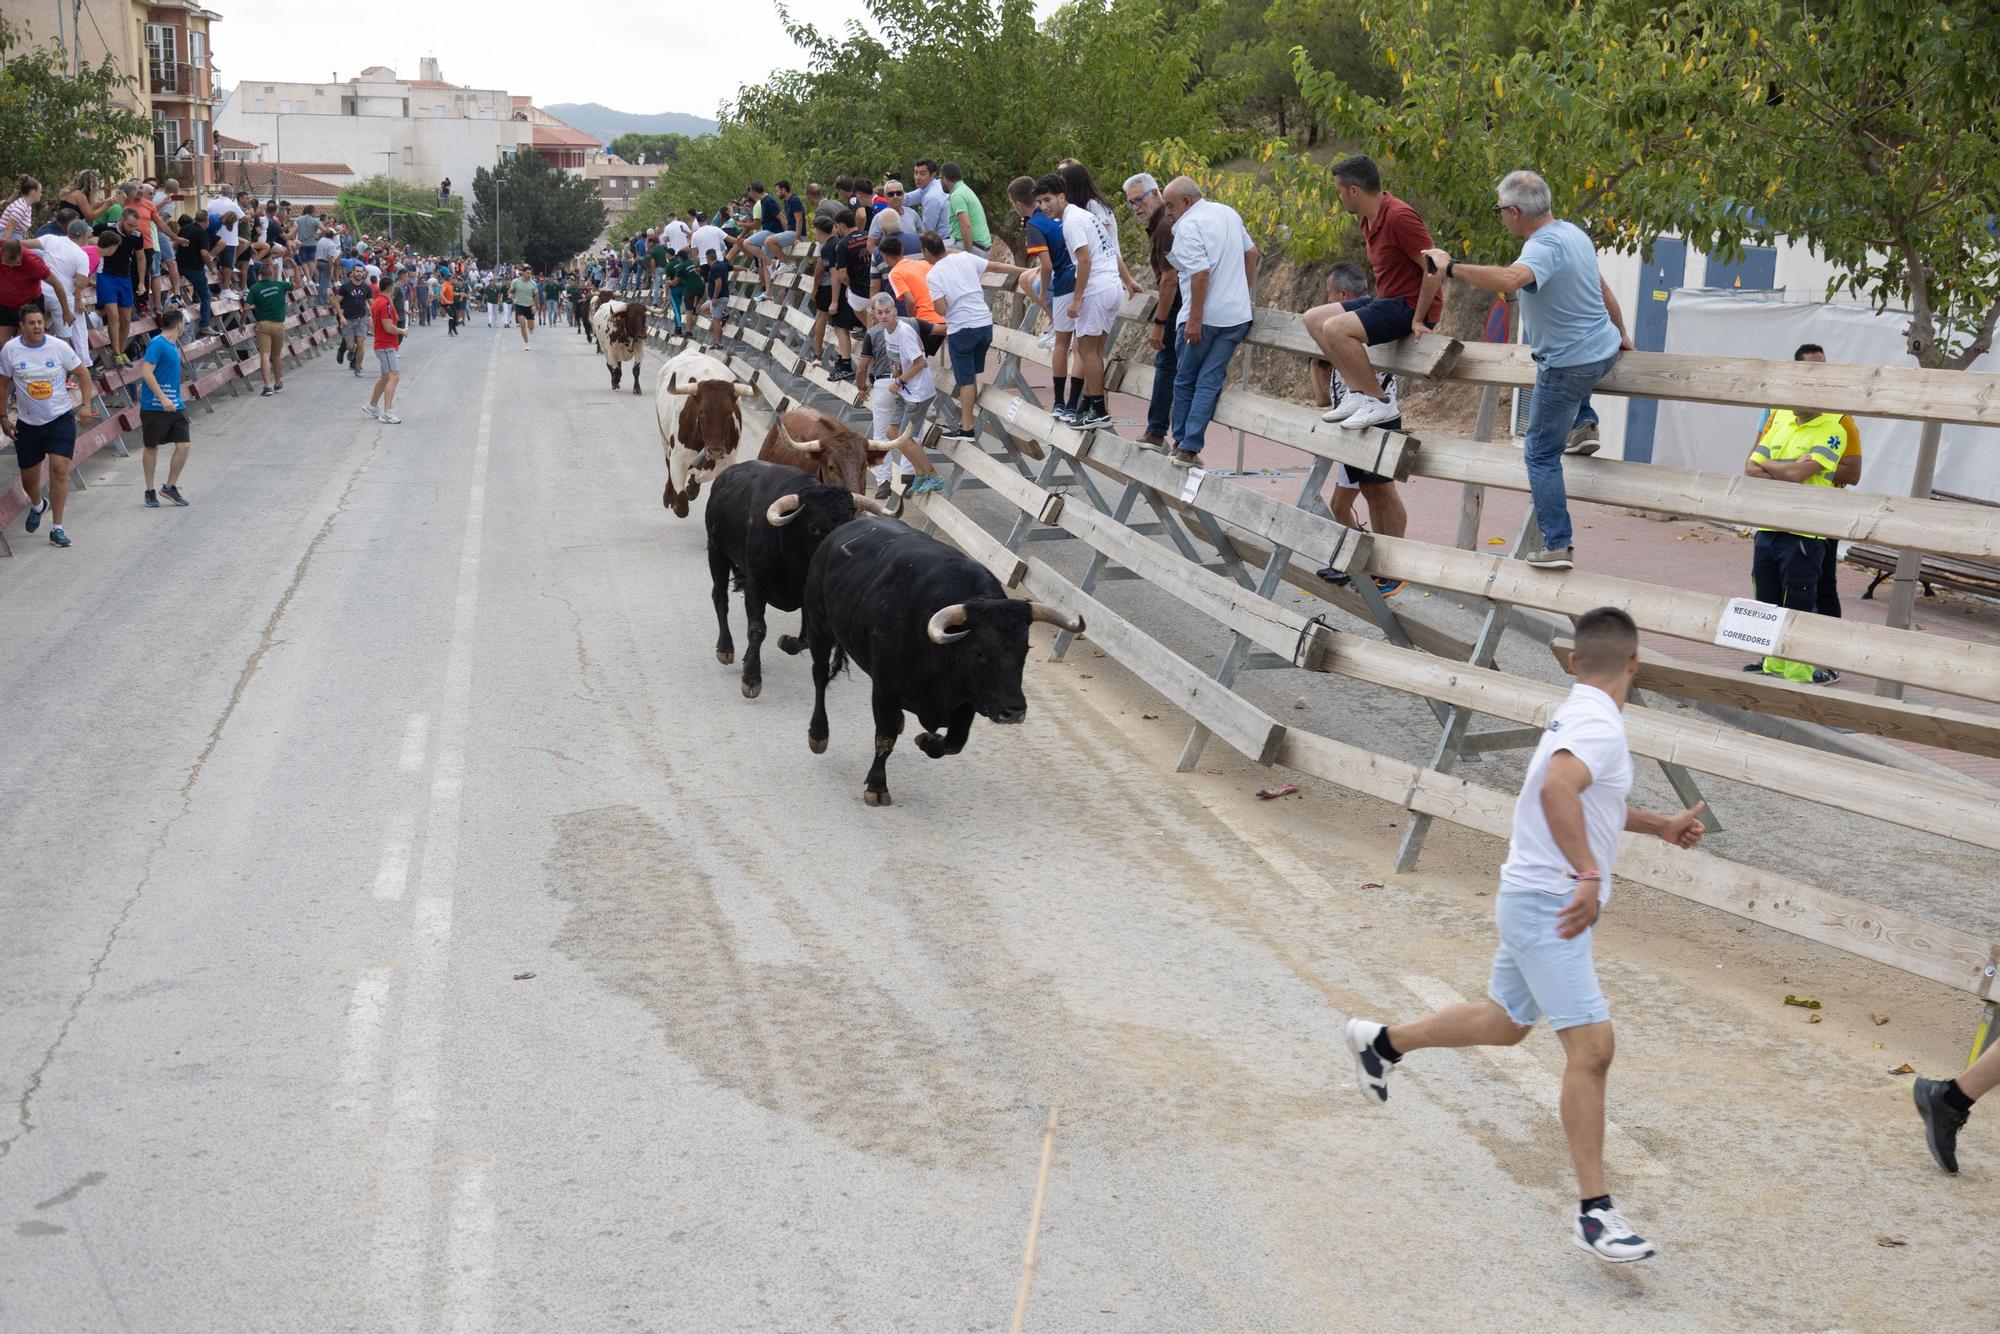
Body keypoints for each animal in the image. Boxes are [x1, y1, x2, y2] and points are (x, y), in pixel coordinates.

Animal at [656, 348, 756, 520]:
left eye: (729, 412)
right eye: (701, 411)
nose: (715, 450)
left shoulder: (726, 463)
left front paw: (692, 487)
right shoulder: (678, 458)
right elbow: (682, 507)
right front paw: (675, 500)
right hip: (664, 436)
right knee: (667, 463)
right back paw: (668, 496)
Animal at [708, 462, 888, 700]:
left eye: (849, 521)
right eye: (814, 527)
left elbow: (804, 639)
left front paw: (785, 642)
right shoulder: (755, 583)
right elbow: (757, 629)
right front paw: (752, 678)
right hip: (716, 552)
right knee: (720, 597)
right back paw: (725, 648)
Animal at [788, 516, 1088, 808]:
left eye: (1024, 650)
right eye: (979, 651)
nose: (1013, 711)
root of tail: (841, 531)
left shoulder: (966, 701)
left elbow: (954, 742)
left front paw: (927, 740)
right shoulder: (884, 690)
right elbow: (884, 738)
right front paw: (877, 786)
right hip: (818, 626)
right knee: (819, 675)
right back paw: (818, 734)